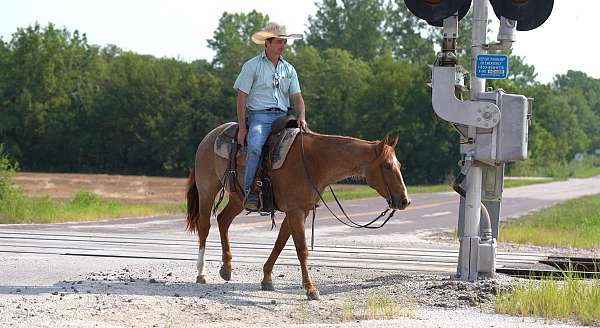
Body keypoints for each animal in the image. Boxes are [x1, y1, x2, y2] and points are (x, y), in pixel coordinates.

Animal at [186, 122, 412, 300]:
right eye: (387, 166)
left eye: (399, 165)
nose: (405, 201)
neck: (314, 162)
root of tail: (210, 136)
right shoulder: (295, 212)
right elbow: (301, 249)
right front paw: (310, 289)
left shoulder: (299, 211)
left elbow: (280, 244)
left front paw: (267, 278)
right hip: (207, 190)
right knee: (205, 227)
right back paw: (201, 273)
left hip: (238, 198)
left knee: (223, 220)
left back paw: (226, 268)